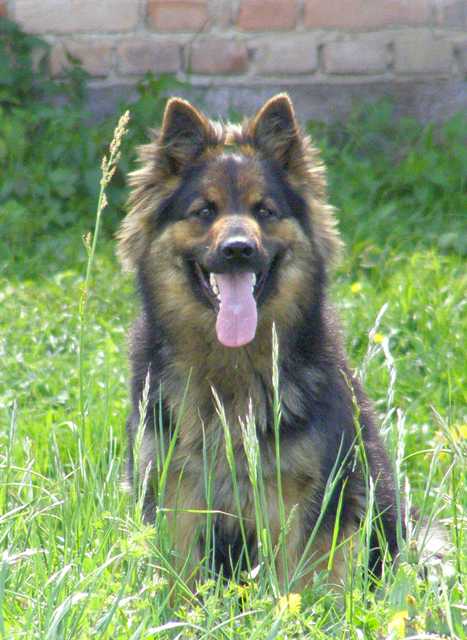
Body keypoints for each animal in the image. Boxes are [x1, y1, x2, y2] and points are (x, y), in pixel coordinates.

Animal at [117, 94, 404, 588]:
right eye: (204, 211)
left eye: (264, 211)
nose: (238, 249)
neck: (229, 373)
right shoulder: (177, 494)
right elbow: (180, 584)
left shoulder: (306, 501)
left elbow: (298, 583)